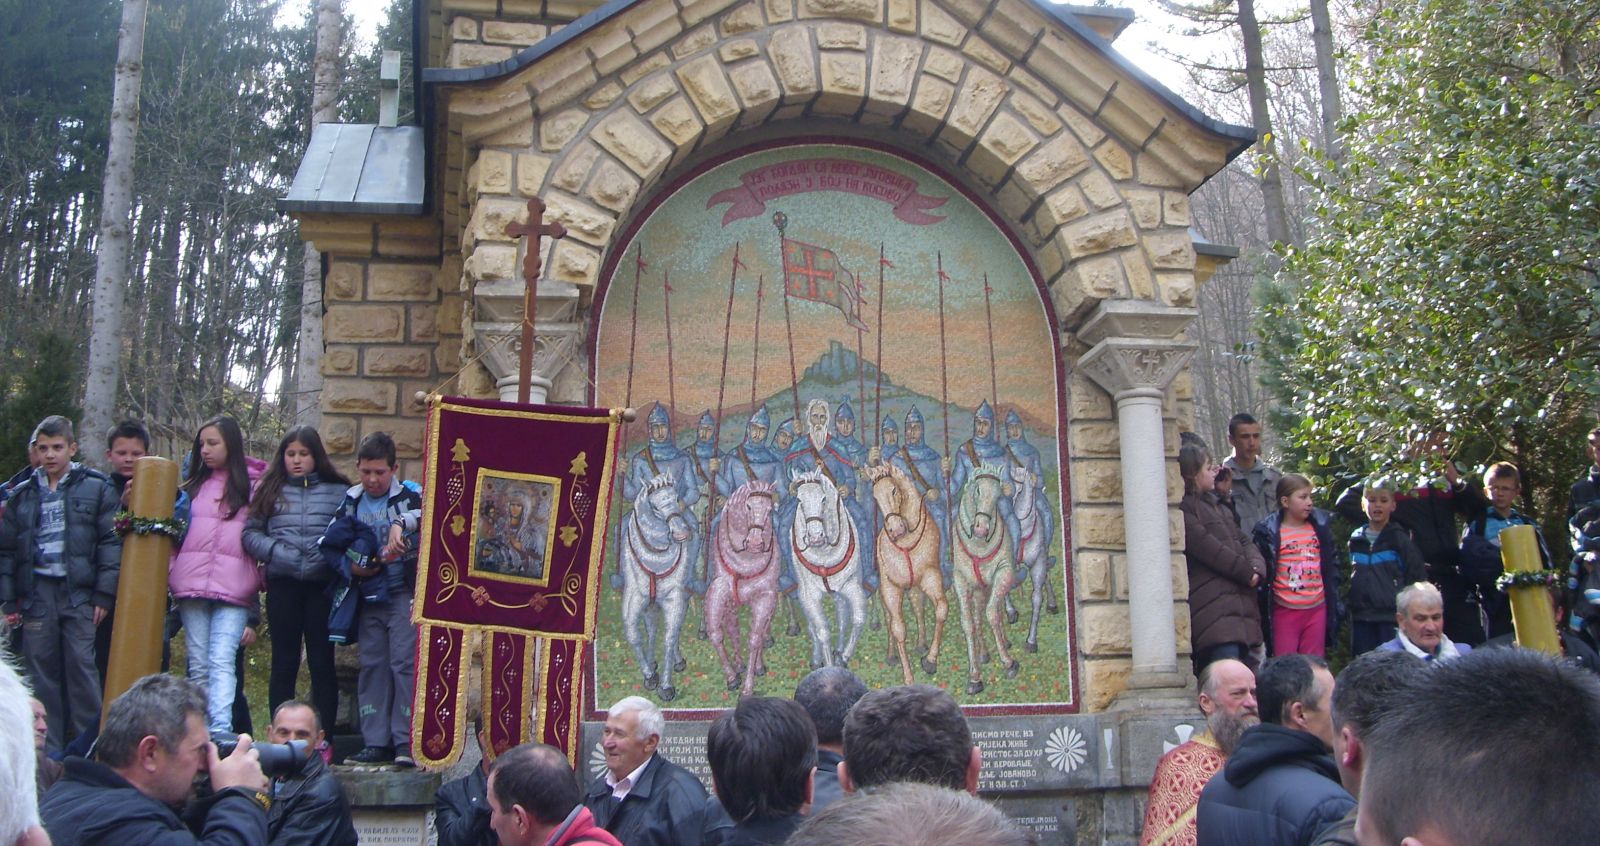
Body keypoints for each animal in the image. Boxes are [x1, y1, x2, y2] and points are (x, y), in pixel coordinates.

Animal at [614, 473, 697, 700]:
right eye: (655, 507)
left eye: (676, 498)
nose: (681, 534)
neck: (655, 559)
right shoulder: (633, 601)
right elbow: (634, 635)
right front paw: (650, 676)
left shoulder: (675, 599)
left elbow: (669, 638)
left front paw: (666, 686)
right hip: (650, 605)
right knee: (651, 629)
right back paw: (652, 662)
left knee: (673, 629)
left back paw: (677, 660)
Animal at [710, 482, 784, 694]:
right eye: (748, 507)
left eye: (770, 510)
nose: (755, 543)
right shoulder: (718, 592)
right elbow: (717, 634)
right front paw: (732, 677)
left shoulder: (764, 597)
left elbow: (754, 639)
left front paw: (748, 687)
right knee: (733, 628)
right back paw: (739, 665)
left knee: (762, 630)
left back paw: (758, 666)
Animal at [784, 466, 864, 665]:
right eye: (799, 500)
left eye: (823, 499)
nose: (815, 537)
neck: (825, 556)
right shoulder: (809, 596)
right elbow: (822, 632)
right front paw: (828, 665)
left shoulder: (852, 587)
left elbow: (857, 620)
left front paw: (843, 657)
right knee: (813, 627)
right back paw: (815, 658)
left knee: (842, 618)